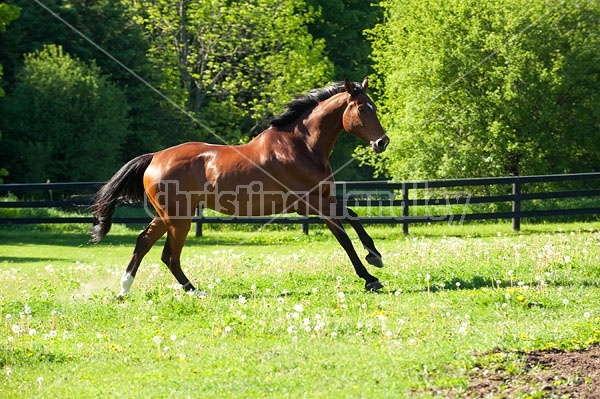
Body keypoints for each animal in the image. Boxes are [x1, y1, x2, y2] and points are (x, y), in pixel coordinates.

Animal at [89, 78, 390, 298]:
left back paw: (125, 289)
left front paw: (372, 262)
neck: (302, 147)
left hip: (167, 217)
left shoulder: (324, 199)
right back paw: (195, 291)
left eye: (373, 105)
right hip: (179, 218)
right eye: (362, 108)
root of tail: (154, 157)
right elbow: (347, 232)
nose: (382, 142)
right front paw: (372, 271)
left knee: (144, 242)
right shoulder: (312, 203)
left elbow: (351, 221)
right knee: (169, 255)